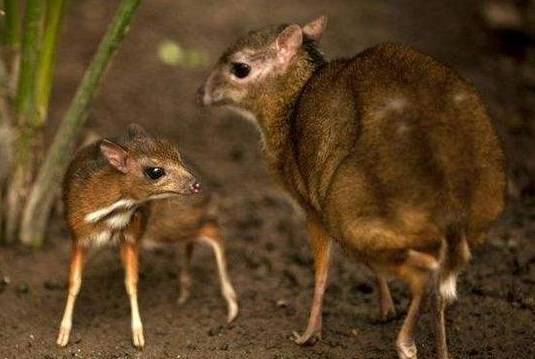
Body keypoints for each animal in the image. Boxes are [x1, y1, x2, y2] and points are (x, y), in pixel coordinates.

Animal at [57, 125, 201, 350]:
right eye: (155, 172)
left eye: (178, 155)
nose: (195, 184)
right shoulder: (79, 237)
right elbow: (74, 282)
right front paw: (63, 334)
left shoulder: (131, 237)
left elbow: (131, 282)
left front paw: (138, 335)